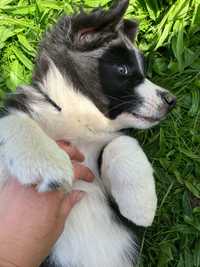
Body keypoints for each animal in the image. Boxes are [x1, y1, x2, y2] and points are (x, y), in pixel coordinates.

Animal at [0, 1, 176, 266]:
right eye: (123, 69)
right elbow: (12, 121)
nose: (171, 101)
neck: (77, 118)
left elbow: (121, 142)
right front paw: (46, 163)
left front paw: (140, 205)